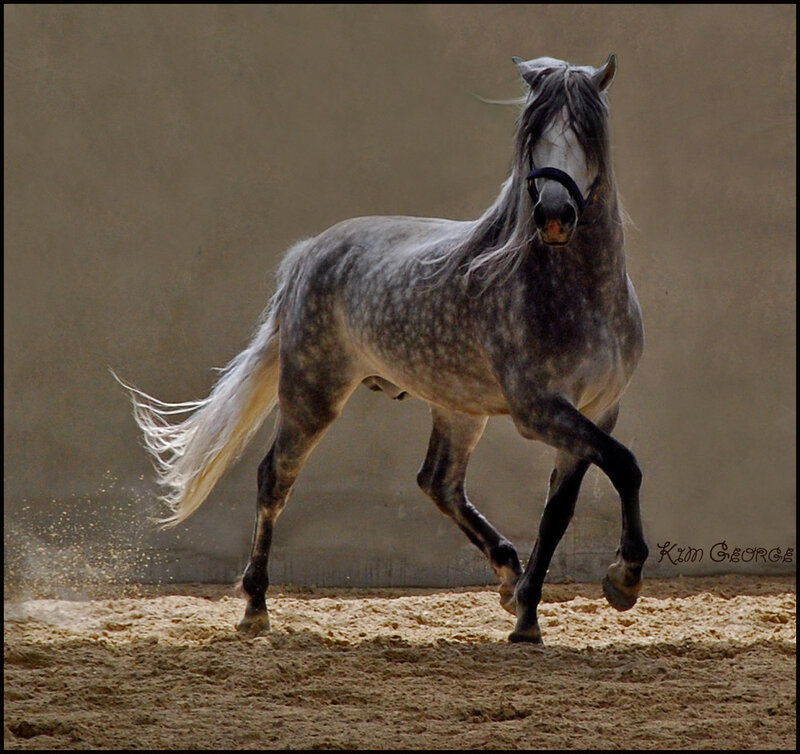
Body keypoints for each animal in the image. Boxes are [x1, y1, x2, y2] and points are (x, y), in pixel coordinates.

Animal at [116, 54, 648, 644]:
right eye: (533, 135)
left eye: (587, 133)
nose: (554, 215)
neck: (576, 294)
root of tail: (311, 252)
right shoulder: (541, 411)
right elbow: (625, 467)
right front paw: (622, 578)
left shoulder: (597, 410)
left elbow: (560, 510)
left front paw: (530, 611)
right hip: (313, 393)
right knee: (275, 477)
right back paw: (255, 606)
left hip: (458, 409)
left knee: (439, 483)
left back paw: (509, 578)